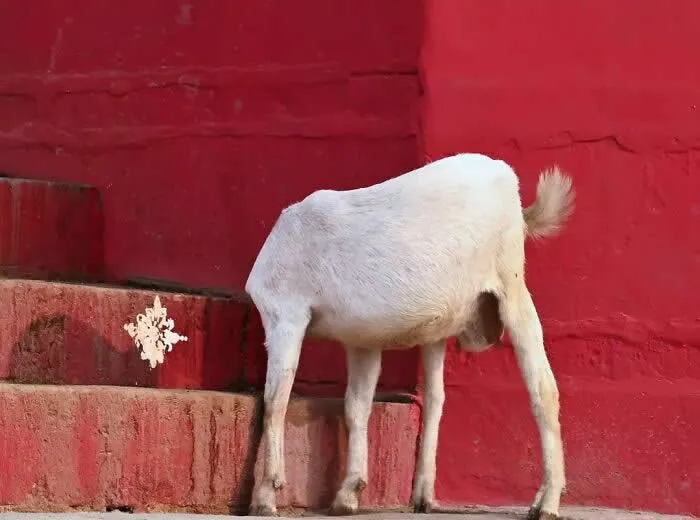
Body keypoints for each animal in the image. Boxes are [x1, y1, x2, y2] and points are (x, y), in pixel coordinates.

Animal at [245, 153, 574, 520]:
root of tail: (509, 183)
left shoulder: (285, 315)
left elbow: (275, 402)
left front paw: (266, 495)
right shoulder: (360, 340)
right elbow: (356, 407)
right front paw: (349, 493)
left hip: (511, 286)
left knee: (543, 389)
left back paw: (547, 503)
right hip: (442, 328)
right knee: (435, 399)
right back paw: (424, 495)